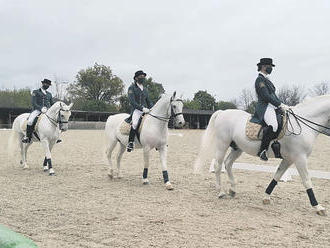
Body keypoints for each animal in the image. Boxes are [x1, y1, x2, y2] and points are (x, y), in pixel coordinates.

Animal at [193, 95, 330, 215]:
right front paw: (318, 207)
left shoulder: (289, 159)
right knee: (218, 165)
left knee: (228, 164)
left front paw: (266, 197)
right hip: (222, 144)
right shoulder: (299, 158)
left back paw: (232, 190)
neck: (301, 126)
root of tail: (222, 112)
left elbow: (277, 176)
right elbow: (307, 180)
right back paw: (221, 192)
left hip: (237, 148)